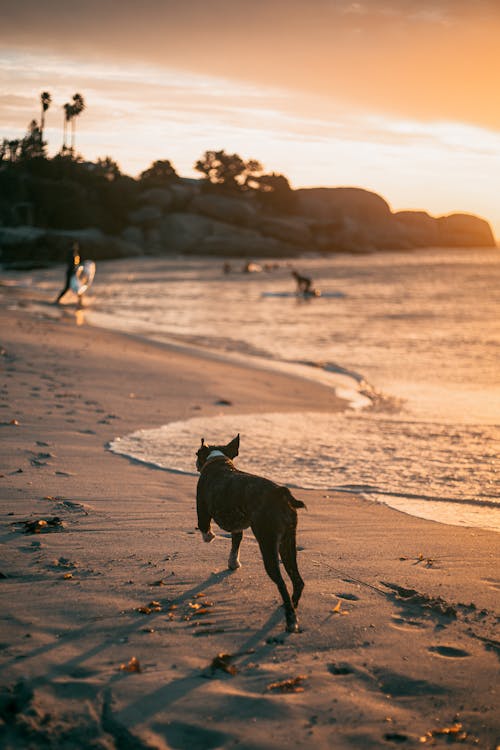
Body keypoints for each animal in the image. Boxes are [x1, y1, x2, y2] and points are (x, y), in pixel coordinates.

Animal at [195, 434, 304, 636]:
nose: (196, 464)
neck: (219, 461)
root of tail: (280, 493)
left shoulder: (203, 512)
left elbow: (205, 529)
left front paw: (211, 537)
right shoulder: (238, 528)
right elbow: (235, 544)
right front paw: (233, 564)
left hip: (268, 543)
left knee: (282, 583)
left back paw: (291, 620)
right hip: (288, 544)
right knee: (298, 580)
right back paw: (291, 607)